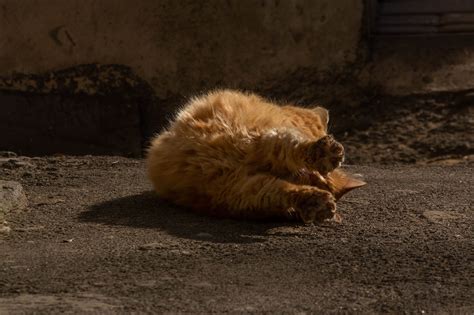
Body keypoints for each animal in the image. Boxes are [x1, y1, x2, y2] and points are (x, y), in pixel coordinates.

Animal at [146, 90, 364, 223]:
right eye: (310, 177)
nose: (309, 176)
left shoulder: (240, 188)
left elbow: (280, 188)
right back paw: (325, 156)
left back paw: (316, 201)